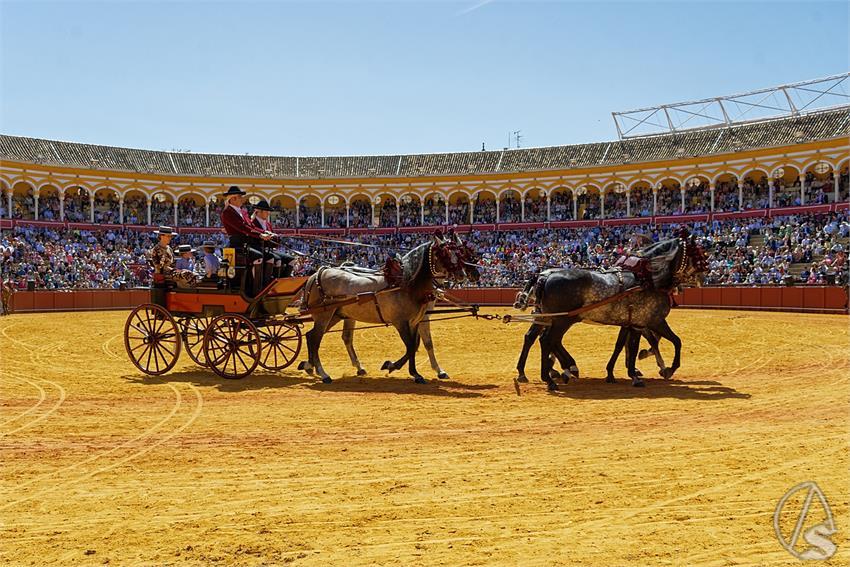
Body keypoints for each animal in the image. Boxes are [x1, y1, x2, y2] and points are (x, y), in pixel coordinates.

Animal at [298, 233, 470, 384]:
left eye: (459, 253)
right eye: (444, 254)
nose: (462, 275)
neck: (405, 284)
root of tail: (317, 273)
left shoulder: (415, 321)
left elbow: (415, 346)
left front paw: (402, 369)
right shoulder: (401, 322)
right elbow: (411, 346)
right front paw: (405, 370)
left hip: (336, 315)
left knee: (312, 336)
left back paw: (310, 366)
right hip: (324, 316)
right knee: (315, 339)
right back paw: (323, 373)